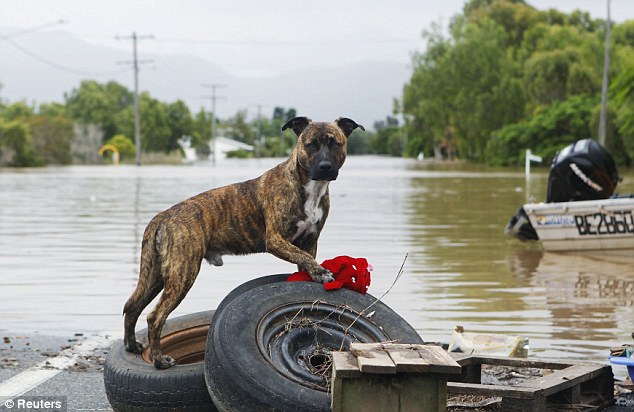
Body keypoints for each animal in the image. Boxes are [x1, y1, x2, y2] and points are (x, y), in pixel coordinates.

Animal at [121, 117, 362, 368]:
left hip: (156, 276)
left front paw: (313, 274)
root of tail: (163, 216)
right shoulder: (276, 240)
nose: (325, 166)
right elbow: (304, 257)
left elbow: (305, 260)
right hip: (182, 274)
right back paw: (159, 360)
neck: (309, 187)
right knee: (155, 316)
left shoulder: (310, 241)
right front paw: (322, 273)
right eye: (311, 144)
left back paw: (132, 345)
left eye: (335, 144)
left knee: (133, 306)